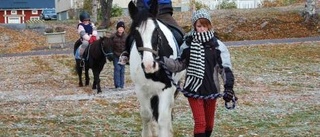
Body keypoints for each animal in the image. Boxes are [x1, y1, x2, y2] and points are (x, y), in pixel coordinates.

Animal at [127, 0, 184, 136]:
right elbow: (146, 115)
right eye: (135, 33)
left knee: (169, 109)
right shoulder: (141, 89)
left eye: (157, 31)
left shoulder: (167, 89)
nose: (149, 65)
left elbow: (163, 118)